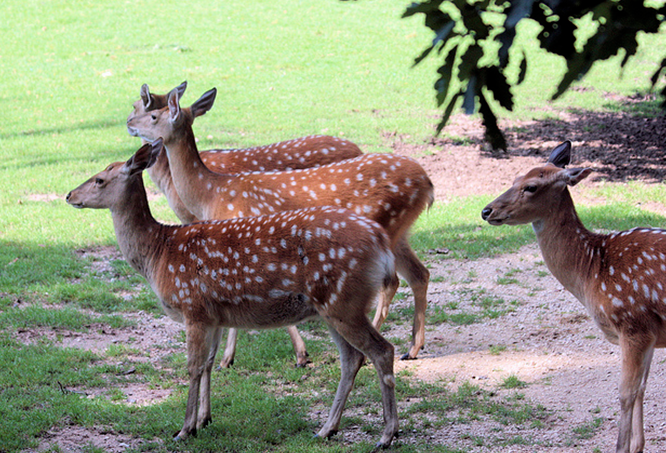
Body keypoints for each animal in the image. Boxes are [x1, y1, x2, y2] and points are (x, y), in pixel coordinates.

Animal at [66, 140, 400, 448]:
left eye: (99, 179)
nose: (69, 195)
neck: (158, 254)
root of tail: (381, 242)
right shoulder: (213, 315)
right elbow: (208, 363)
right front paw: (204, 419)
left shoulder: (192, 306)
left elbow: (192, 366)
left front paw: (183, 429)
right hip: (331, 306)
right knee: (351, 358)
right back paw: (327, 429)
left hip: (344, 300)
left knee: (382, 350)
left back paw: (387, 434)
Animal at [126, 85, 434, 360]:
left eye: (153, 115)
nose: (129, 124)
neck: (210, 193)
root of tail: (428, 184)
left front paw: (239, 358)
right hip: (399, 232)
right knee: (419, 274)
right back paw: (412, 348)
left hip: (387, 225)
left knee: (392, 282)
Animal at [480, 141, 664, 452]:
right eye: (514, 177)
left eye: (531, 186)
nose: (486, 210)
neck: (592, 269)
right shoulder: (649, 334)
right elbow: (641, 388)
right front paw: (638, 445)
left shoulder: (632, 322)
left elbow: (625, 393)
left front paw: (621, 446)